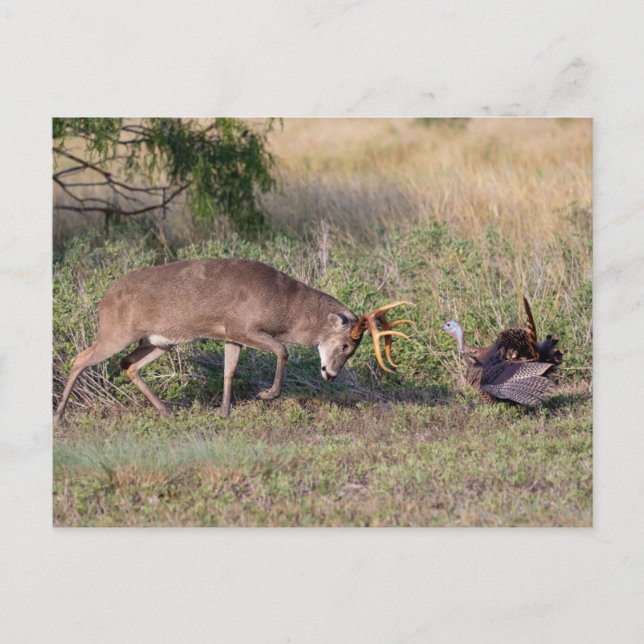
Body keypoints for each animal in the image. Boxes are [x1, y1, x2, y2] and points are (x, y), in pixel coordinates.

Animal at [53, 258, 413, 424]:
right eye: (345, 345)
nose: (331, 374)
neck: (285, 307)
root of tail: (105, 299)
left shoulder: (231, 335)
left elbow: (229, 371)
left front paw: (224, 411)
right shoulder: (243, 326)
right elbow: (282, 350)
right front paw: (266, 394)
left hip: (159, 341)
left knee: (127, 364)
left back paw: (167, 410)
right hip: (116, 332)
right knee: (80, 359)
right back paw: (59, 415)